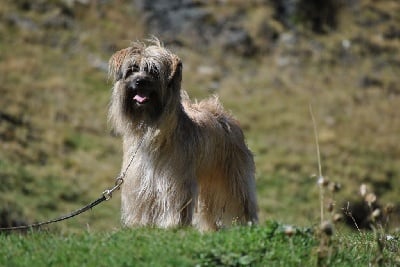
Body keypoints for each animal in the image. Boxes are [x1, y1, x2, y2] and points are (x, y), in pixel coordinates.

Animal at [108, 38, 258, 231]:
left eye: (153, 71)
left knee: (241, 201)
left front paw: (173, 225)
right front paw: (140, 225)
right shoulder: (139, 179)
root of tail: (223, 115)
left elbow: (174, 201)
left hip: (233, 177)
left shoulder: (176, 180)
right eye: (132, 69)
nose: (139, 81)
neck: (152, 129)